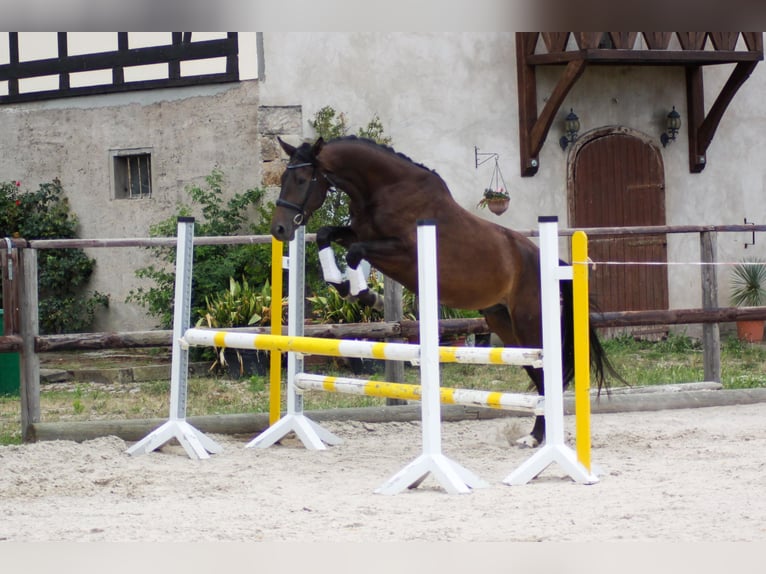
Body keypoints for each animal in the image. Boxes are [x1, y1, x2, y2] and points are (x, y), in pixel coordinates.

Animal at [270, 136, 616, 450]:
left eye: (301, 180)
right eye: (284, 178)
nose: (280, 230)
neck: (384, 189)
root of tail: (550, 262)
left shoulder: (403, 252)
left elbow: (355, 252)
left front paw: (365, 295)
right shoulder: (358, 233)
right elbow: (327, 234)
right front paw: (341, 285)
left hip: (529, 323)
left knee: (547, 375)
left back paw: (537, 439)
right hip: (504, 324)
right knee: (537, 375)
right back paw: (536, 436)